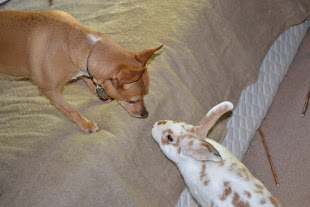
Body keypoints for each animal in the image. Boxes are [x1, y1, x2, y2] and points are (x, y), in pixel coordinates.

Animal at [0, 10, 162, 133]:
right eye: (132, 100)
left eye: (145, 94)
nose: (145, 114)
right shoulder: (49, 91)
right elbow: (71, 109)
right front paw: (86, 125)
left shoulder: (84, 70)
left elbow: (90, 83)